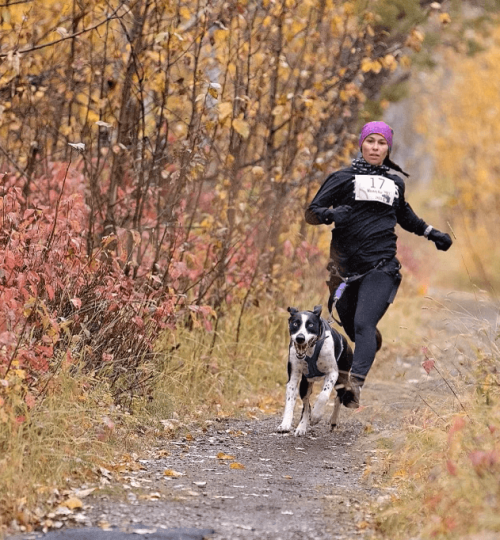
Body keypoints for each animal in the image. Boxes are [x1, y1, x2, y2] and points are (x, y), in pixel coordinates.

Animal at [276, 306, 354, 436]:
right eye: (295, 323)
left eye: (311, 325)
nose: (300, 338)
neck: (311, 350)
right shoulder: (293, 377)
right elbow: (291, 400)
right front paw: (285, 423)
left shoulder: (332, 373)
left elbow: (323, 395)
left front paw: (317, 415)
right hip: (305, 383)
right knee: (306, 404)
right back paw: (302, 427)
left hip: (342, 380)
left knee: (338, 399)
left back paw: (333, 421)